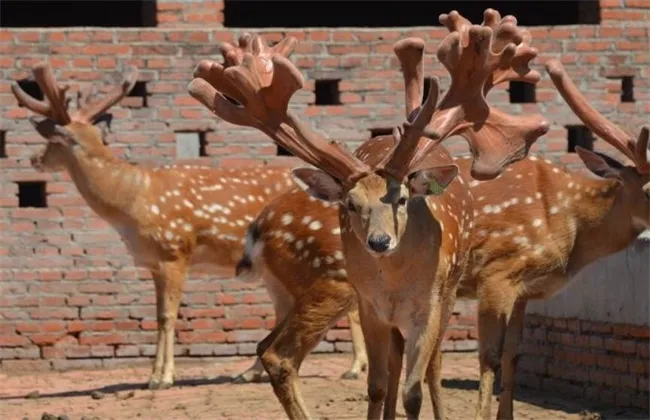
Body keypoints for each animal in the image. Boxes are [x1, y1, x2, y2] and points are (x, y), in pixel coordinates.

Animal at [11, 63, 294, 390]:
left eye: (54, 141)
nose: (33, 158)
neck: (133, 200)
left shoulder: (175, 251)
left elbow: (169, 316)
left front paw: (166, 377)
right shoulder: (155, 263)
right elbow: (158, 316)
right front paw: (153, 375)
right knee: (284, 308)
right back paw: (249, 373)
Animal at [189, 8, 548, 418]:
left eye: (403, 199)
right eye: (350, 203)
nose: (379, 241)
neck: (394, 284)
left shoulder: (430, 304)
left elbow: (413, 388)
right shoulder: (369, 306)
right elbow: (376, 384)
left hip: (435, 289)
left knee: (427, 366)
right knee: (290, 355)